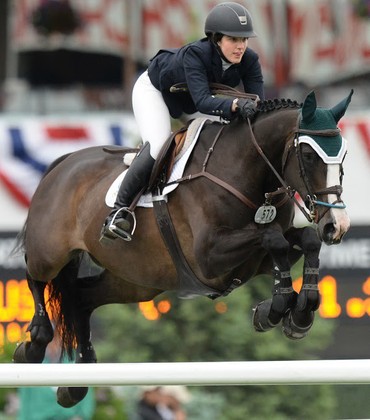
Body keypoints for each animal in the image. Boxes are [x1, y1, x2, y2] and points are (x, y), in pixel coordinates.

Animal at [12, 88, 352, 406]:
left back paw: (76, 382)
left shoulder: (257, 261)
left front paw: (296, 313)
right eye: (308, 155)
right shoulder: (209, 256)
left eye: (344, 156)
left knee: (82, 299)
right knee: (35, 275)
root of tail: (62, 163)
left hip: (138, 281)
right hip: (51, 251)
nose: (337, 225)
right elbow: (273, 239)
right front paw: (278, 307)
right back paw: (34, 345)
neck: (249, 173)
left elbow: (303, 241)